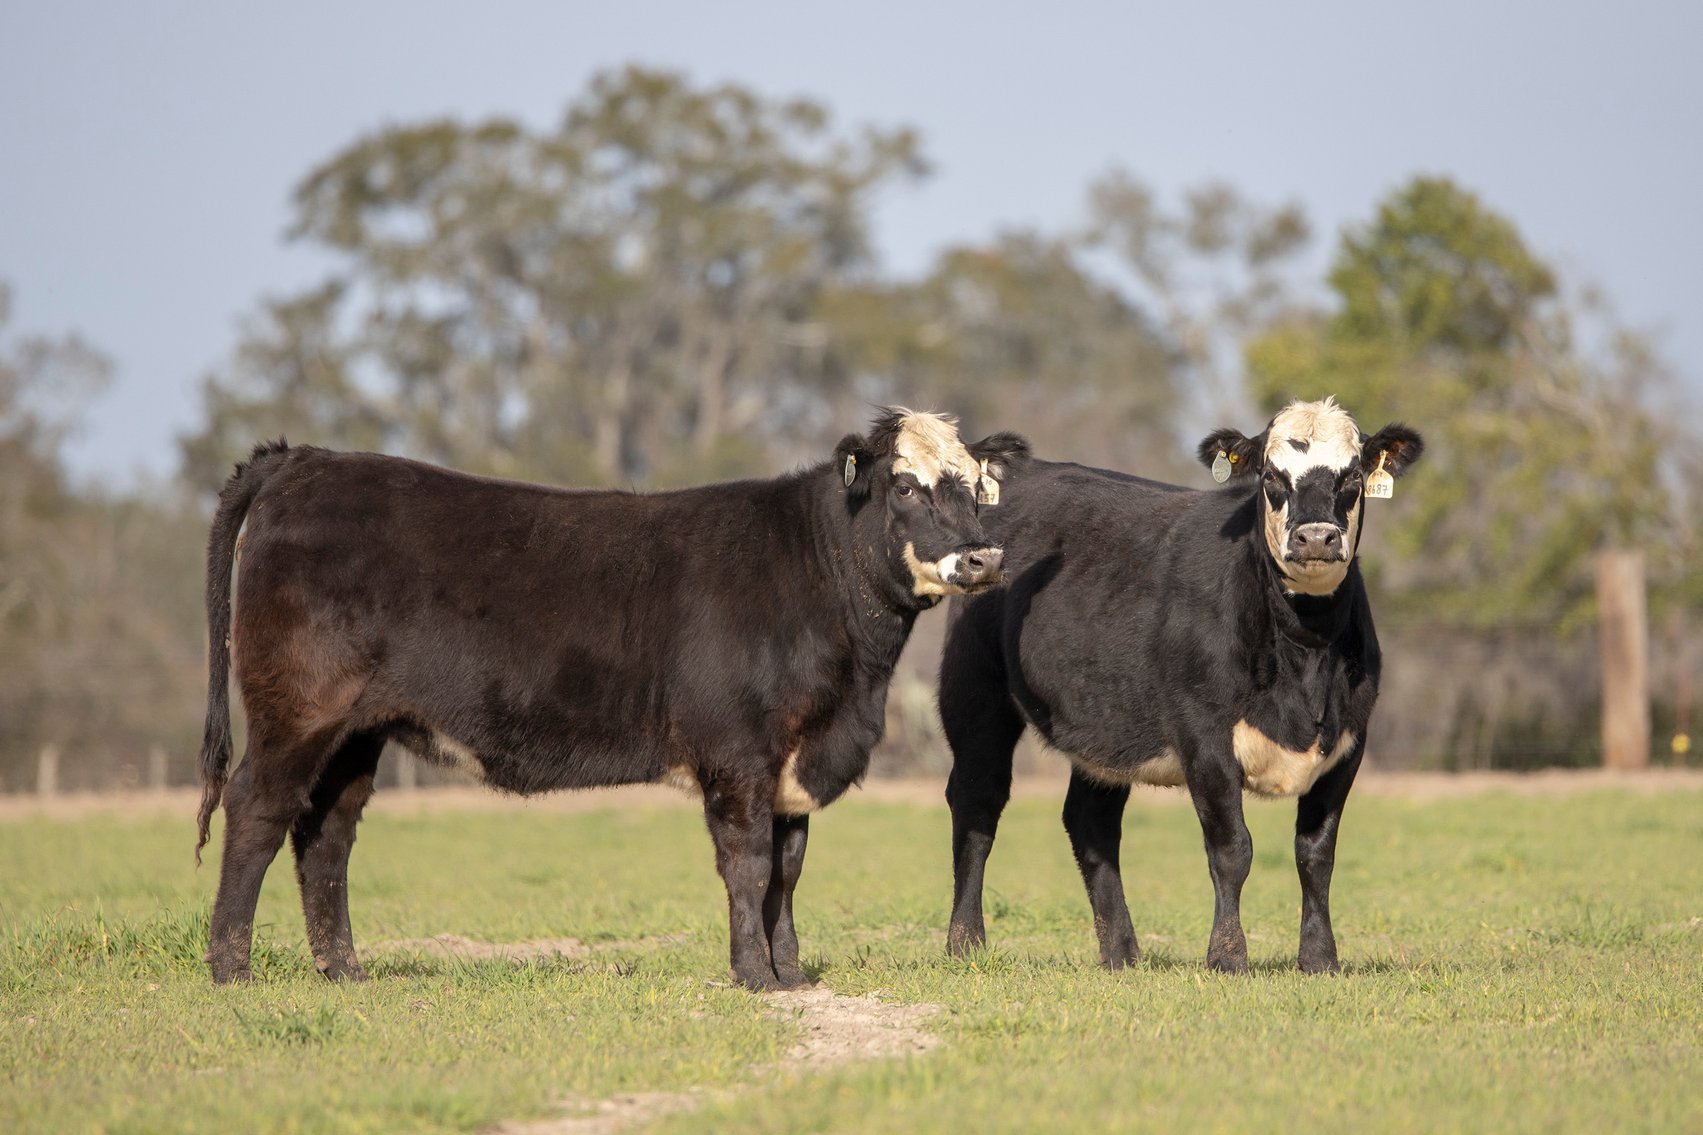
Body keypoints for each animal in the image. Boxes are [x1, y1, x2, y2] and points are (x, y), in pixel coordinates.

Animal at [194, 408, 1029, 991]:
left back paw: (344, 970)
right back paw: (231, 967)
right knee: (257, 811)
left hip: (356, 732)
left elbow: (787, 872)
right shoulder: (737, 757)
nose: (982, 557)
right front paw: (753, 975)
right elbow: (749, 865)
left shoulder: (794, 760)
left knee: (326, 837)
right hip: (298, 714)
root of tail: (305, 459)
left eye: (975, 488)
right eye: (904, 484)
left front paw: (789, 972)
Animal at [938, 397, 1422, 974]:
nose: (1316, 537)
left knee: (1091, 822)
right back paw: (965, 943)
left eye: (1351, 476)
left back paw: (1121, 952)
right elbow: (1232, 849)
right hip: (976, 696)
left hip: (1107, 721)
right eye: (1270, 476)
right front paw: (1227, 957)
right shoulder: (1204, 737)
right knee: (977, 802)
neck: (1306, 653)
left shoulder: (1350, 741)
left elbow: (1316, 854)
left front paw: (1320, 959)